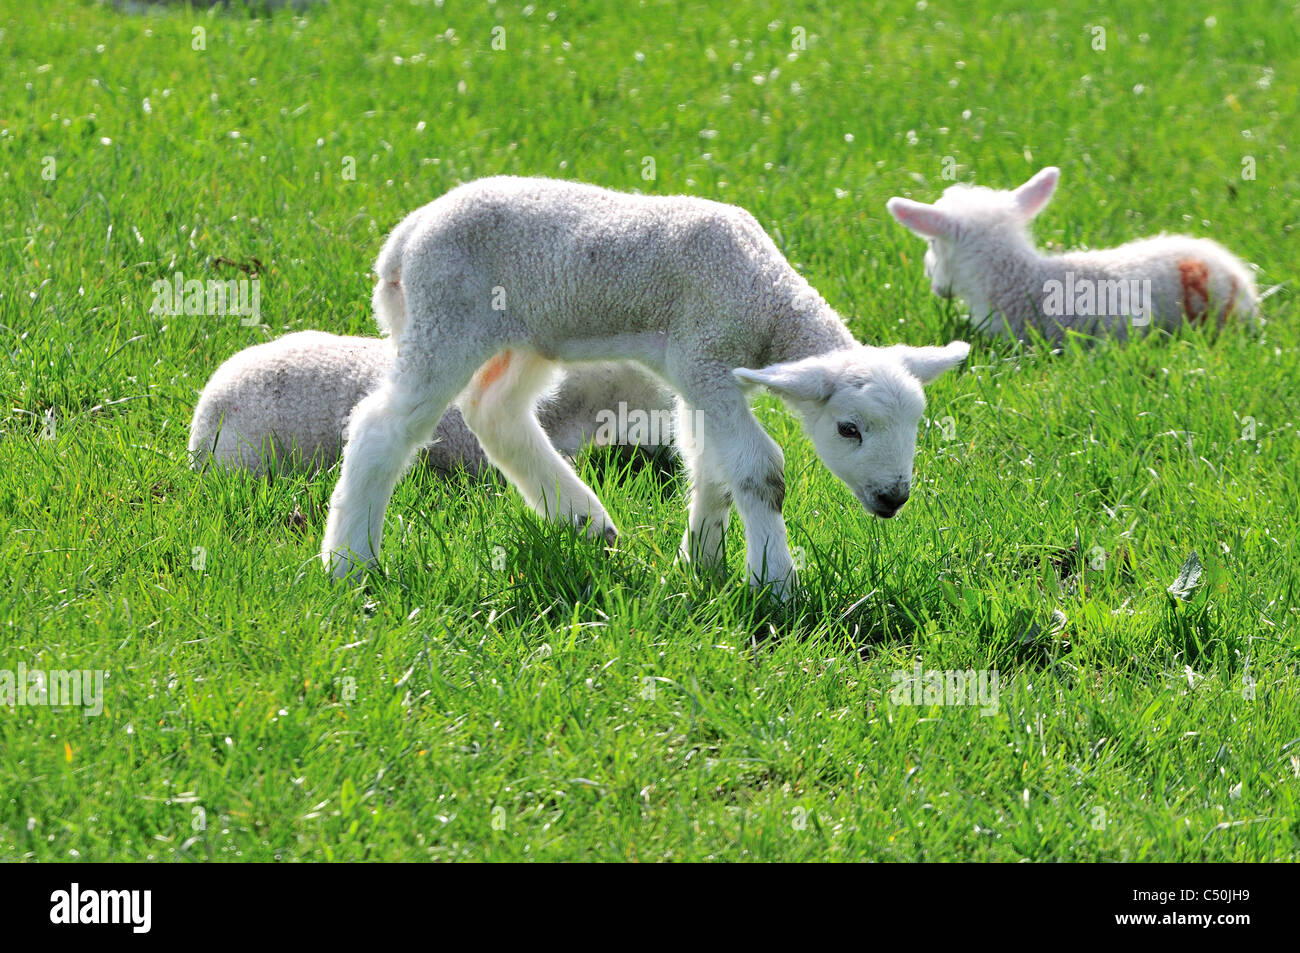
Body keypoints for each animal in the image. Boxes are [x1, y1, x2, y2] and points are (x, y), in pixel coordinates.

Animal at [319, 176, 972, 595]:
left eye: (916, 425)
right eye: (848, 428)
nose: (893, 498)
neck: (766, 298)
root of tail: (404, 238)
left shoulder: (702, 375)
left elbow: (712, 468)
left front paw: (700, 563)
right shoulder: (706, 357)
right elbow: (759, 469)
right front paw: (775, 583)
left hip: (528, 335)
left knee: (494, 412)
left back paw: (586, 522)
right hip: (446, 318)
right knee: (382, 428)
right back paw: (350, 563)